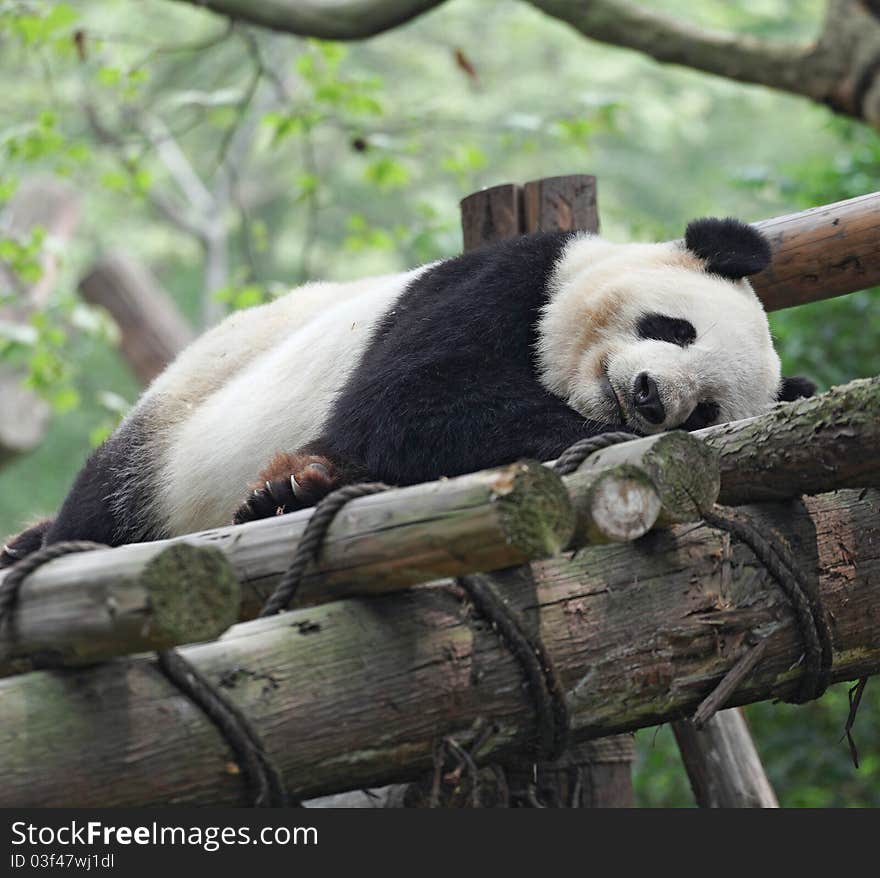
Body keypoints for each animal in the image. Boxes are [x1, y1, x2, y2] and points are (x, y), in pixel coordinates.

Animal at [0, 217, 816, 568]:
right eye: (673, 327)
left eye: (706, 409)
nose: (649, 399)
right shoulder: (504, 282)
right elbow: (412, 405)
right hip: (182, 420)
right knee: (110, 498)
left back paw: (290, 492)